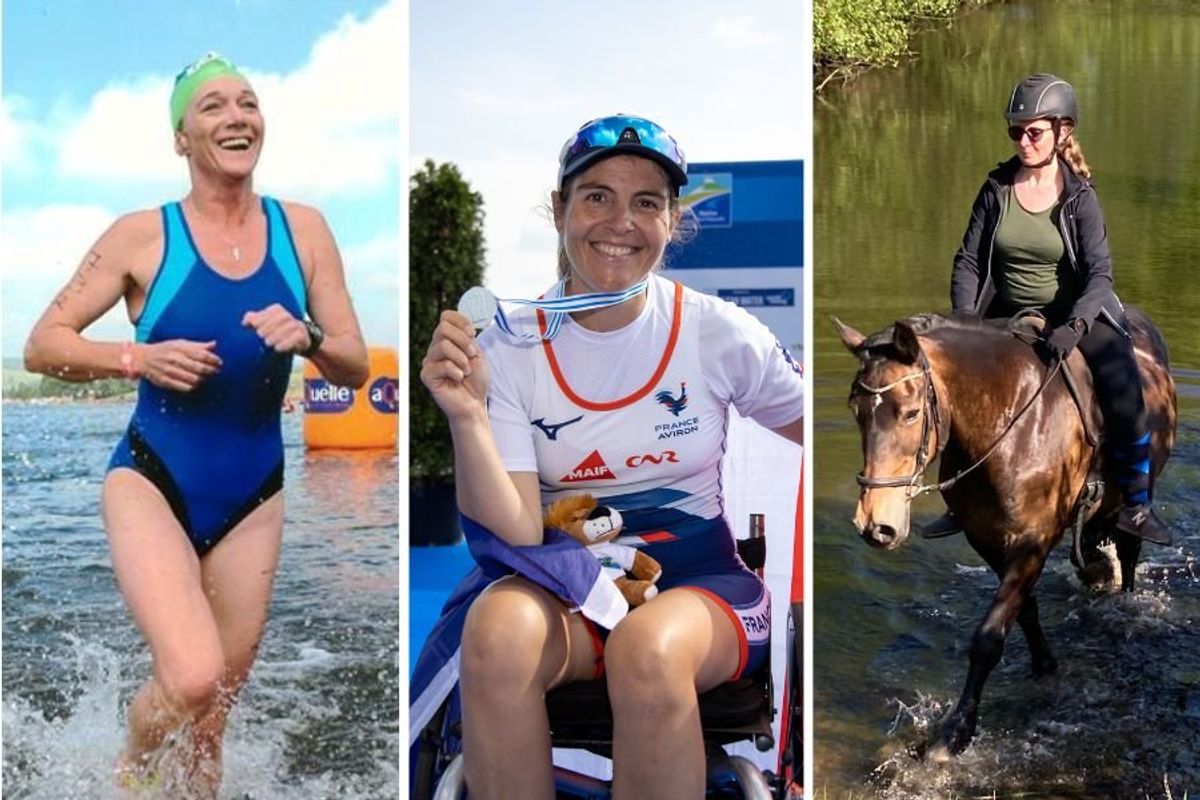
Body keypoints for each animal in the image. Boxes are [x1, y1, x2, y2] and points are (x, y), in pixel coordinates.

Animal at [835, 309, 1171, 762]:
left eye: (910, 413)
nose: (875, 524)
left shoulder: (1032, 543)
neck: (1013, 425)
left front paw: (954, 734)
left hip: (1133, 499)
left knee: (1130, 547)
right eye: (857, 411)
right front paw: (1044, 664)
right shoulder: (986, 540)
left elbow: (988, 638)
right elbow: (1023, 610)